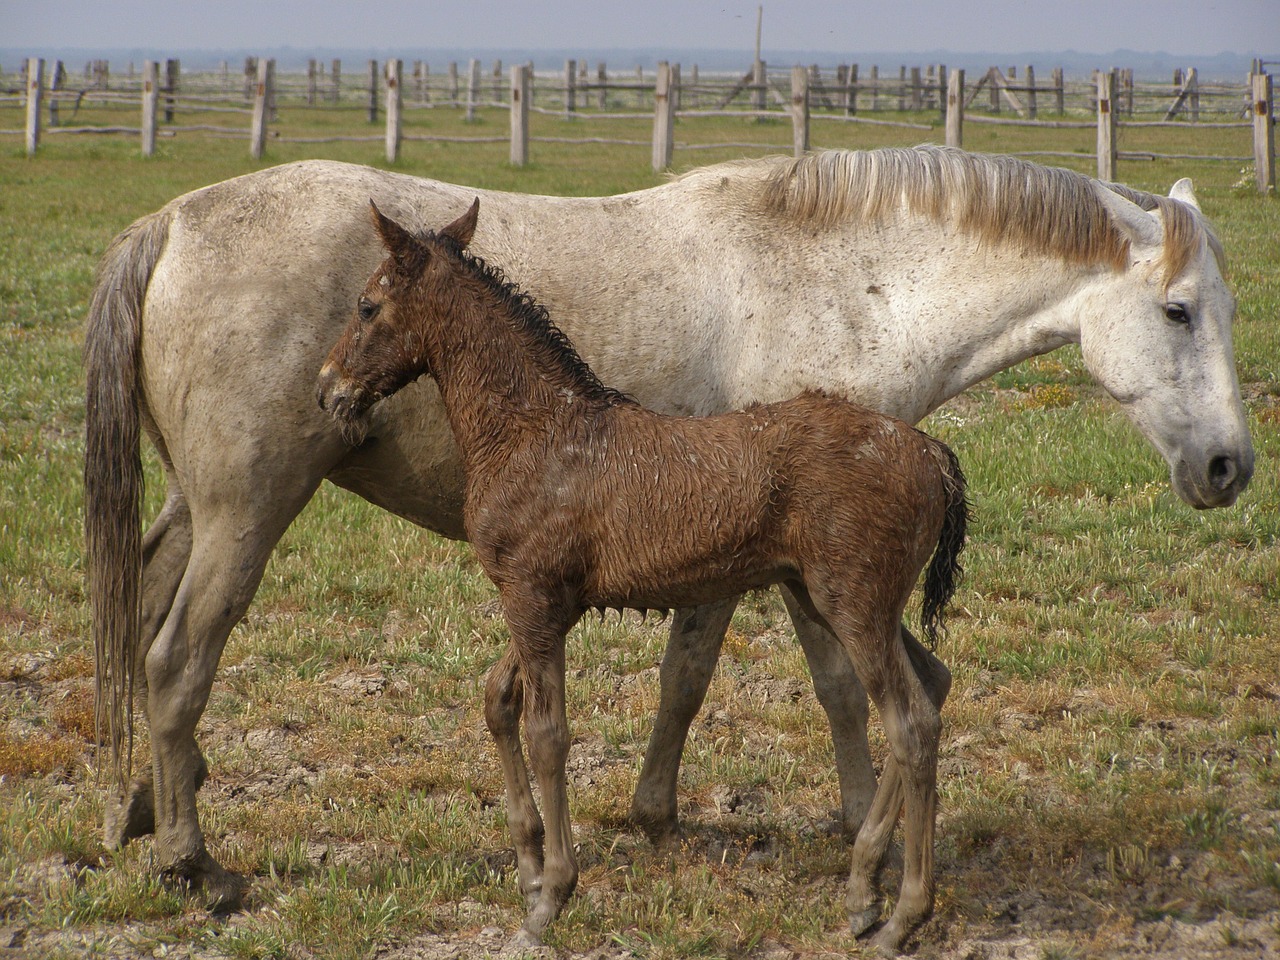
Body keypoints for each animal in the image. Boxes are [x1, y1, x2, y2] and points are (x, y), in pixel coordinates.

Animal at [87, 146, 1249, 911]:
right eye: (1179, 312)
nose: (1229, 468)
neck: (846, 279)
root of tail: (170, 224)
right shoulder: (792, 569)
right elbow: (821, 688)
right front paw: (844, 834)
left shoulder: (748, 556)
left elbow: (694, 676)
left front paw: (657, 814)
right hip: (247, 511)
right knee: (179, 658)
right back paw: (194, 864)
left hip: (199, 507)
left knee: (143, 631)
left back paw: (137, 813)